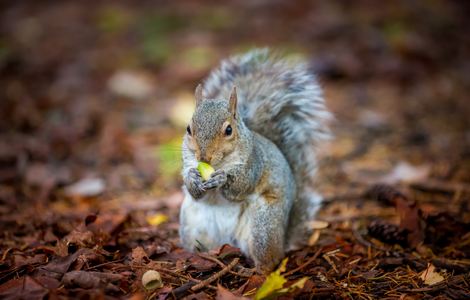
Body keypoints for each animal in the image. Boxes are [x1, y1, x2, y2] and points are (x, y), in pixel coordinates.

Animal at [178, 48, 332, 272]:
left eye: (228, 130)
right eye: (189, 129)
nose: (203, 157)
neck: (219, 162)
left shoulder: (254, 164)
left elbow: (241, 186)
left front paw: (222, 178)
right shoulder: (188, 160)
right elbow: (192, 189)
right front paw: (193, 178)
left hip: (262, 226)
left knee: (269, 261)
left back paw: (253, 270)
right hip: (193, 225)